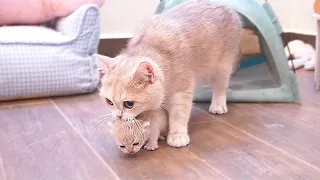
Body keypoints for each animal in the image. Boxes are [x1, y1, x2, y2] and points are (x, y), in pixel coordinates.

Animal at [99, 0, 241, 148]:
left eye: (129, 104)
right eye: (109, 102)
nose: (118, 116)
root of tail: (225, 5)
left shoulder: (181, 92)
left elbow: (179, 115)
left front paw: (177, 135)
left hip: (222, 68)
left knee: (220, 88)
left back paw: (218, 105)